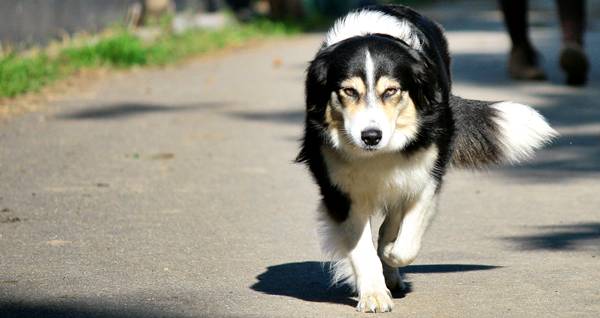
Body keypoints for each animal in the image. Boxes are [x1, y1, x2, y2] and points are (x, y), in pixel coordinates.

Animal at [296, 4, 556, 314]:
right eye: (348, 91)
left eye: (391, 91)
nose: (370, 136)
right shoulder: (339, 191)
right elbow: (362, 249)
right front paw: (373, 294)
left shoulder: (425, 175)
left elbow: (403, 245)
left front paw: (388, 256)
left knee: (393, 222)